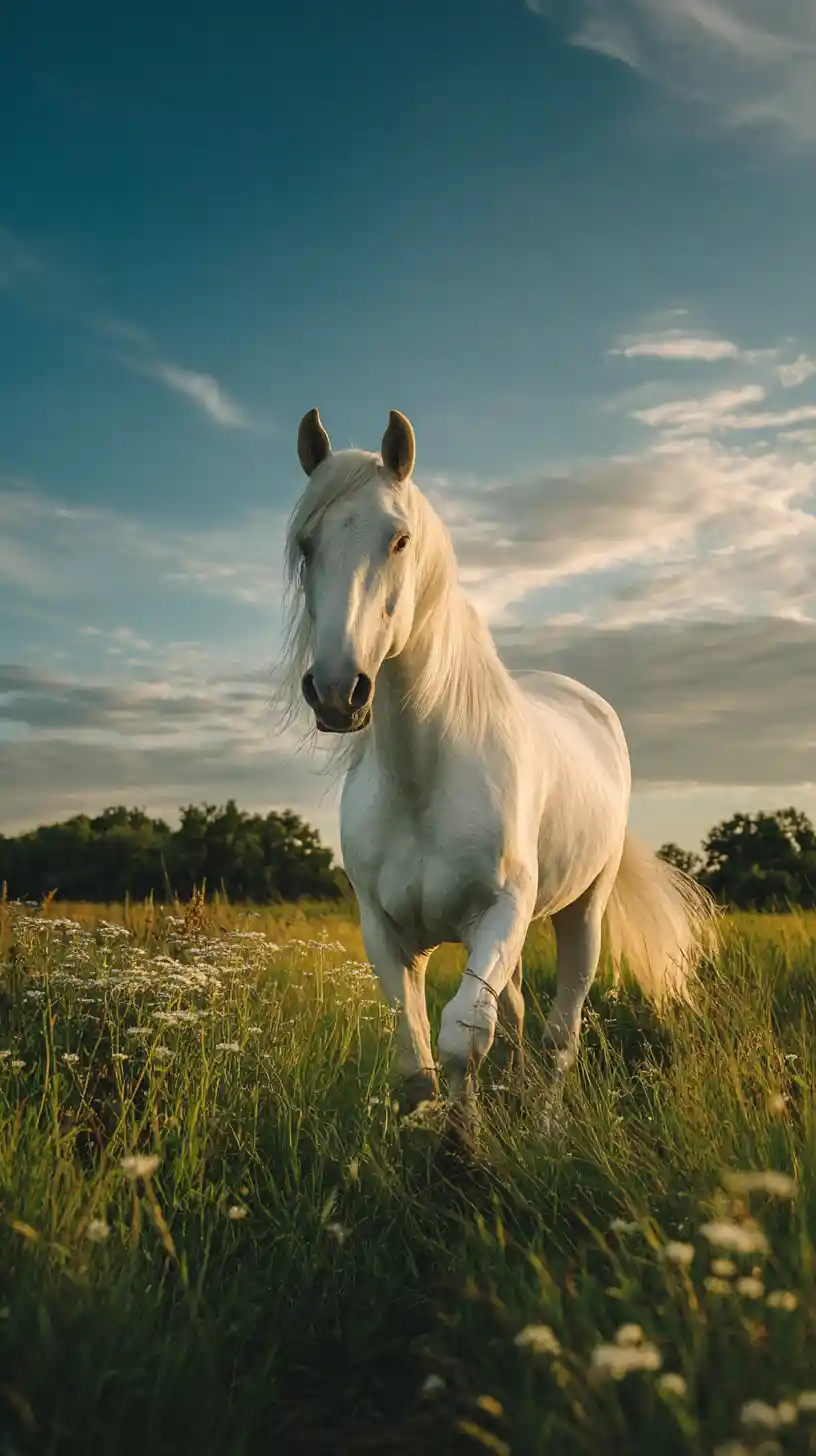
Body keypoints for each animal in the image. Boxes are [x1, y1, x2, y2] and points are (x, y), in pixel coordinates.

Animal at [279, 407, 716, 1131]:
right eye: (306, 544)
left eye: (399, 540)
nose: (338, 691)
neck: (423, 780)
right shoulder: (386, 933)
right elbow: (419, 1063)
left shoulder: (499, 915)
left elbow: (464, 1038)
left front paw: (465, 1147)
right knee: (513, 1017)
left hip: (581, 916)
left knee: (560, 1028)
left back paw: (543, 1123)